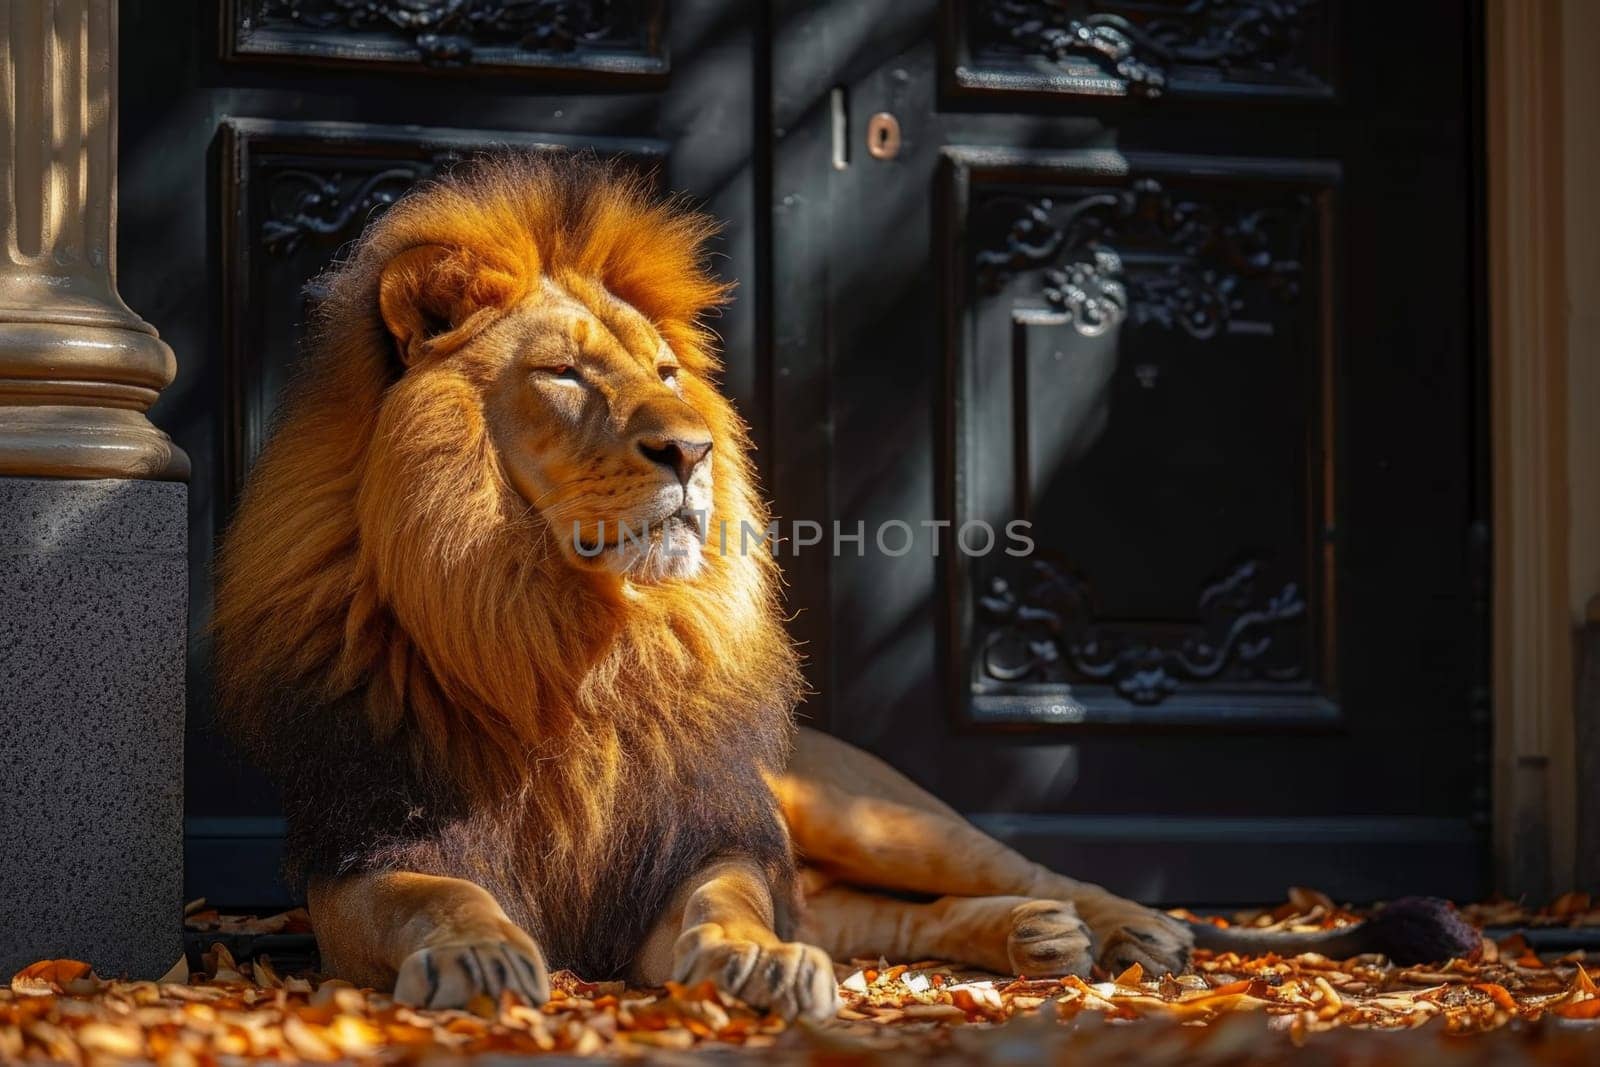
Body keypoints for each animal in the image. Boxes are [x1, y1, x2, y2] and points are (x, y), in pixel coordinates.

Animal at [209, 154, 1190, 1023]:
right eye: (563, 373)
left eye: (667, 373)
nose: (693, 450)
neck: (559, 636)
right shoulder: (371, 846)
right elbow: (436, 896)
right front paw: (476, 952)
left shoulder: (700, 841)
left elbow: (730, 903)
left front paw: (758, 961)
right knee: (898, 918)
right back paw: (1036, 936)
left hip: (868, 812)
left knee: (1017, 866)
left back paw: (1135, 928)